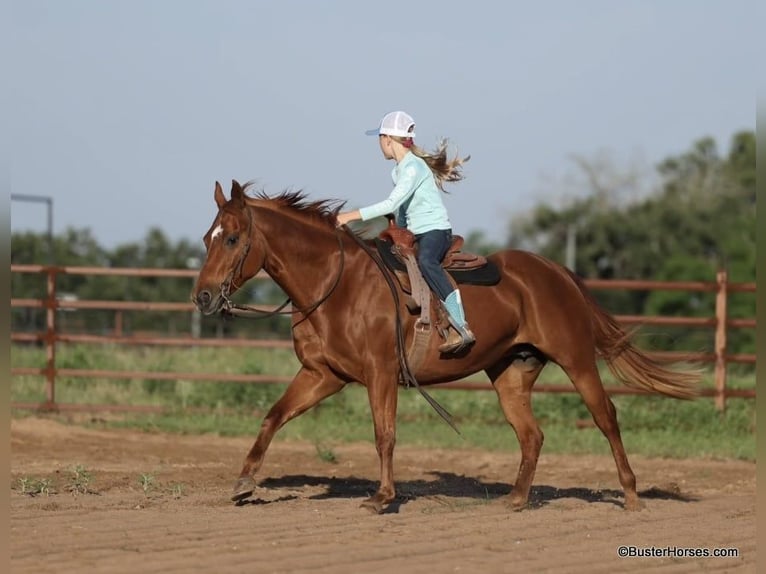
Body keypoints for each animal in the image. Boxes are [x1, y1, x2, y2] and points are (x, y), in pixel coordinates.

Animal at [192, 181, 704, 516]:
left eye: (232, 238)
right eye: (206, 237)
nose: (203, 297)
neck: (338, 286)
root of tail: (556, 272)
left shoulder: (380, 374)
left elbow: (384, 434)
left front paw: (381, 498)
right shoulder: (323, 375)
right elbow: (274, 416)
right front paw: (244, 483)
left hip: (576, 360)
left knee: (606, 418)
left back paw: (631, 496)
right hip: (511, 373)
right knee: (531, 435)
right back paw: (516, 500)